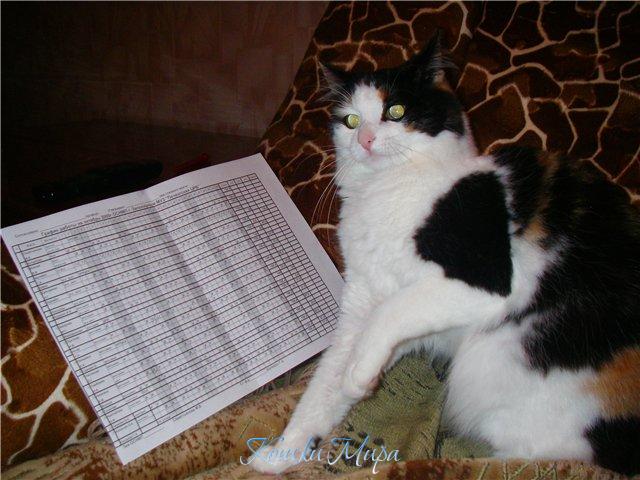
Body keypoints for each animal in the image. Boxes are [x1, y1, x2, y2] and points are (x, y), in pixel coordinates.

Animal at [250, 32, 640, 476]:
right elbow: (323, 387)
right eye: (350, 120)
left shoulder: (483, 285)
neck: (386, 192)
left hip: (497, 371)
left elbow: (389, 315)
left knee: (535, 460)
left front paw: (359, 375)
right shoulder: (362, 304)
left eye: (396, 111)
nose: (365, 140)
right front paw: (284, 452)